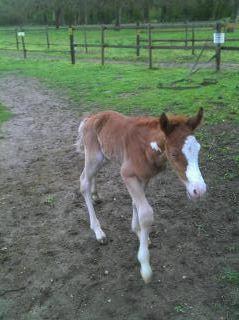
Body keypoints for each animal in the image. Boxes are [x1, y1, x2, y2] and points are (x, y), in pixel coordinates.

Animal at [77, 109, 207, 282]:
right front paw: (145, 265)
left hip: (104, 157)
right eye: (173, 154)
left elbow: (135, 203)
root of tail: (91, 117)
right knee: (83, 182)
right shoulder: (127, 175)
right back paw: (98, 231)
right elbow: (145, 213)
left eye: (198, 150)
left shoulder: (144, 177)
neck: (145, 147)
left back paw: (95, 195)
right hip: (94, 156)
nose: (199, 190)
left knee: (91, 177)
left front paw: (137, 232)